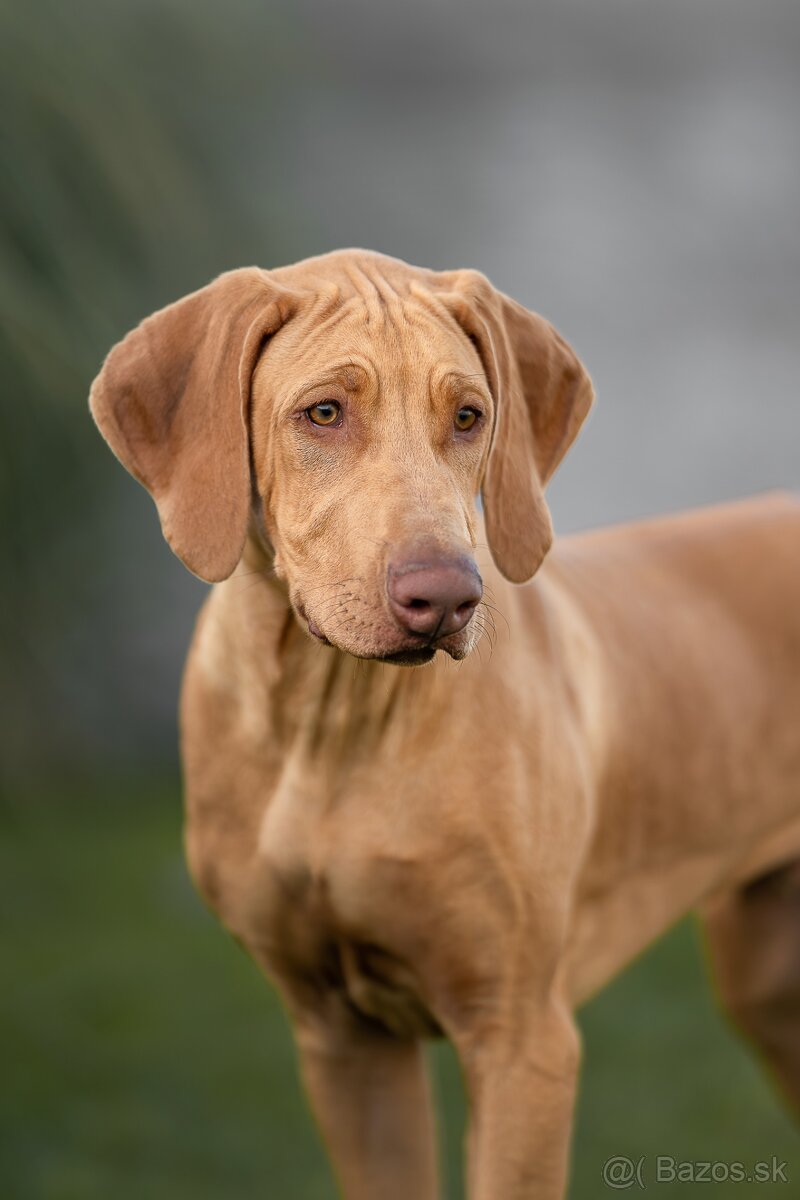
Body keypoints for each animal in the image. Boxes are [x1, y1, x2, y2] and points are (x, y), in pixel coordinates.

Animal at [89, 248, 800, 1195]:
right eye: (324, 412)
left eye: (470, 417)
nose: (446, 599)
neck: (335, 727)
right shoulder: (342, 1040)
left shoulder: (520, 1039)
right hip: (769, 979)